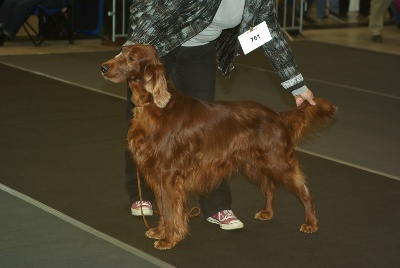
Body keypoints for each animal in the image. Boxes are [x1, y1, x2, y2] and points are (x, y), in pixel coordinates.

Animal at [101, 44, 338, 249]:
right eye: (121, 51)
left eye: (132, 58)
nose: (103, 67)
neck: (153, 106)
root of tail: (277, 115)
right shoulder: (156, 173)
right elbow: (161, 207)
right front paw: (160, 232)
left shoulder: (168, 174)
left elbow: (168, 209)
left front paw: (168, 239)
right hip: (256, 162)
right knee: (270, 186)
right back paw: (267, 213)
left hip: (278, 161)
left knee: (304, 190)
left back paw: (311, 224)